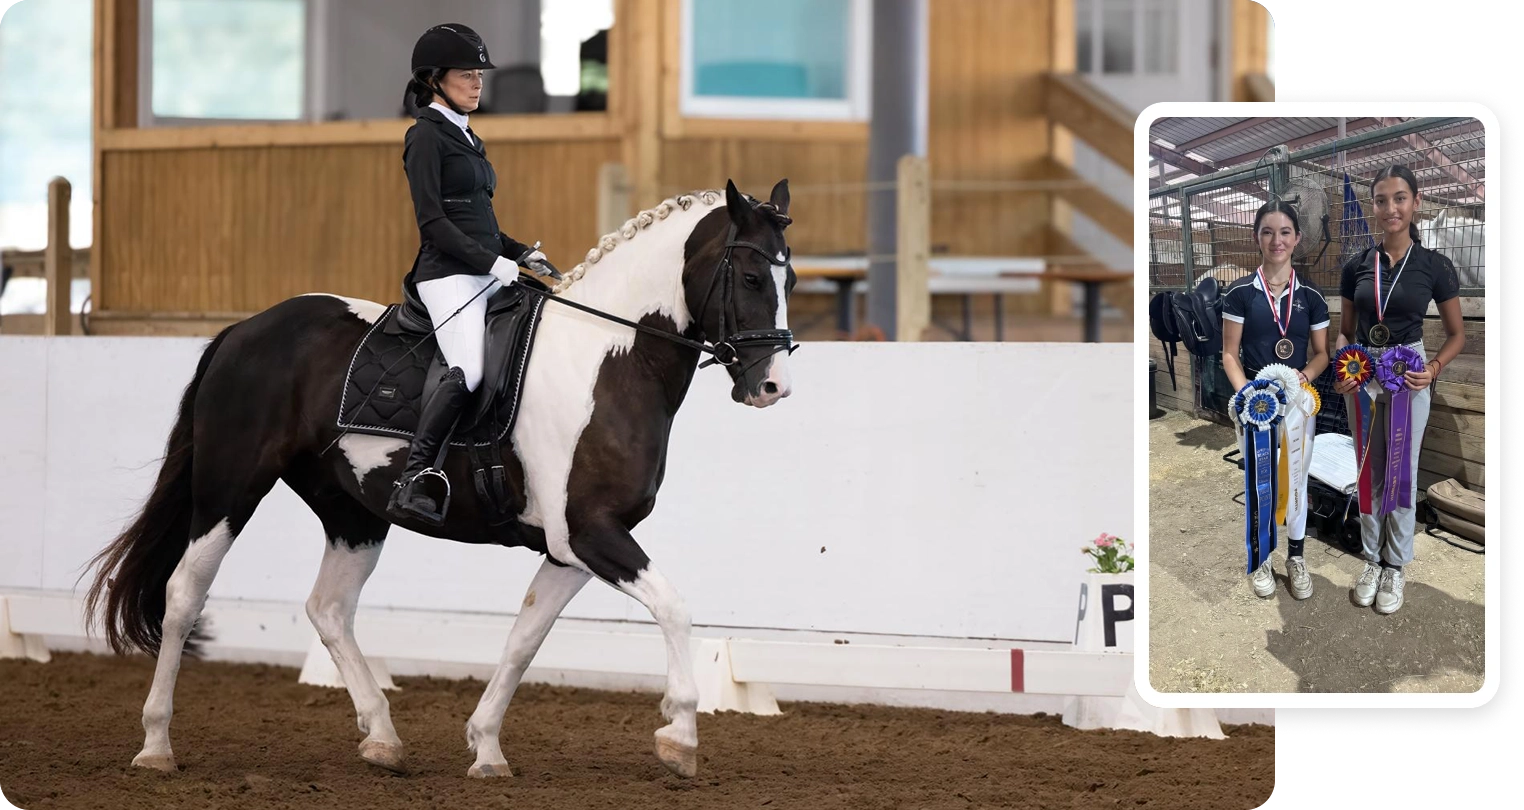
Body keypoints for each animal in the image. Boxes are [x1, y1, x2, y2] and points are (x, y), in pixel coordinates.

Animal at [83, 182, 804, 781]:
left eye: (790, 276)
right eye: (748, 274)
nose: (773, 387)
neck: (604, 361)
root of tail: (244, 329)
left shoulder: (571, 548)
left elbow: (524, 639)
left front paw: (486, 749)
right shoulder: (593, 535)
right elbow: (675, 609)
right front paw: (680, 735)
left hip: (353, 512)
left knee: (328, 609)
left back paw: (382, 739)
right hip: (229, 490)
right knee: (183, 594)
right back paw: (156, 746)